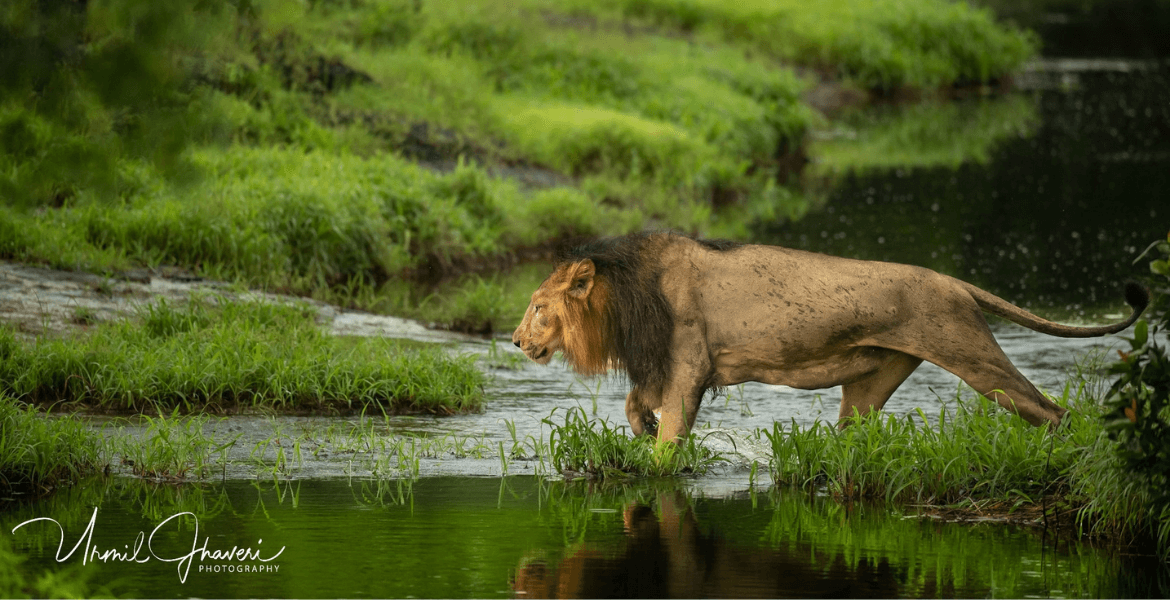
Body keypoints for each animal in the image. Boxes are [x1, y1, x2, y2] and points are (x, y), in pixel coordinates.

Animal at [514, 231, 1151, 442]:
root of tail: (952, 280)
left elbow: (673, 433)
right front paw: (641, 430)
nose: (516, 341)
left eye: (538, 307)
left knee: (1050, 410)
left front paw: (658, 453)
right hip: (871, 383)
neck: (623, 299)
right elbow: (632, 403)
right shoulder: (662, 364)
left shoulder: (689, 364)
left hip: (973, 355)